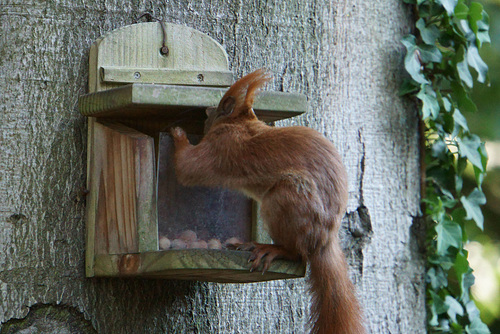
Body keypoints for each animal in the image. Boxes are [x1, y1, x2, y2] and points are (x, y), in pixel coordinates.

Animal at [171, 69, 364, 332]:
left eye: (221, 106)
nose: (207, 111)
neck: (240, 123)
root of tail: (323, 241)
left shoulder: (218, 147)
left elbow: (186, 168)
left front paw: (177, 133)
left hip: (287, 198)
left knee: (297, 253)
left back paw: (271, 248)